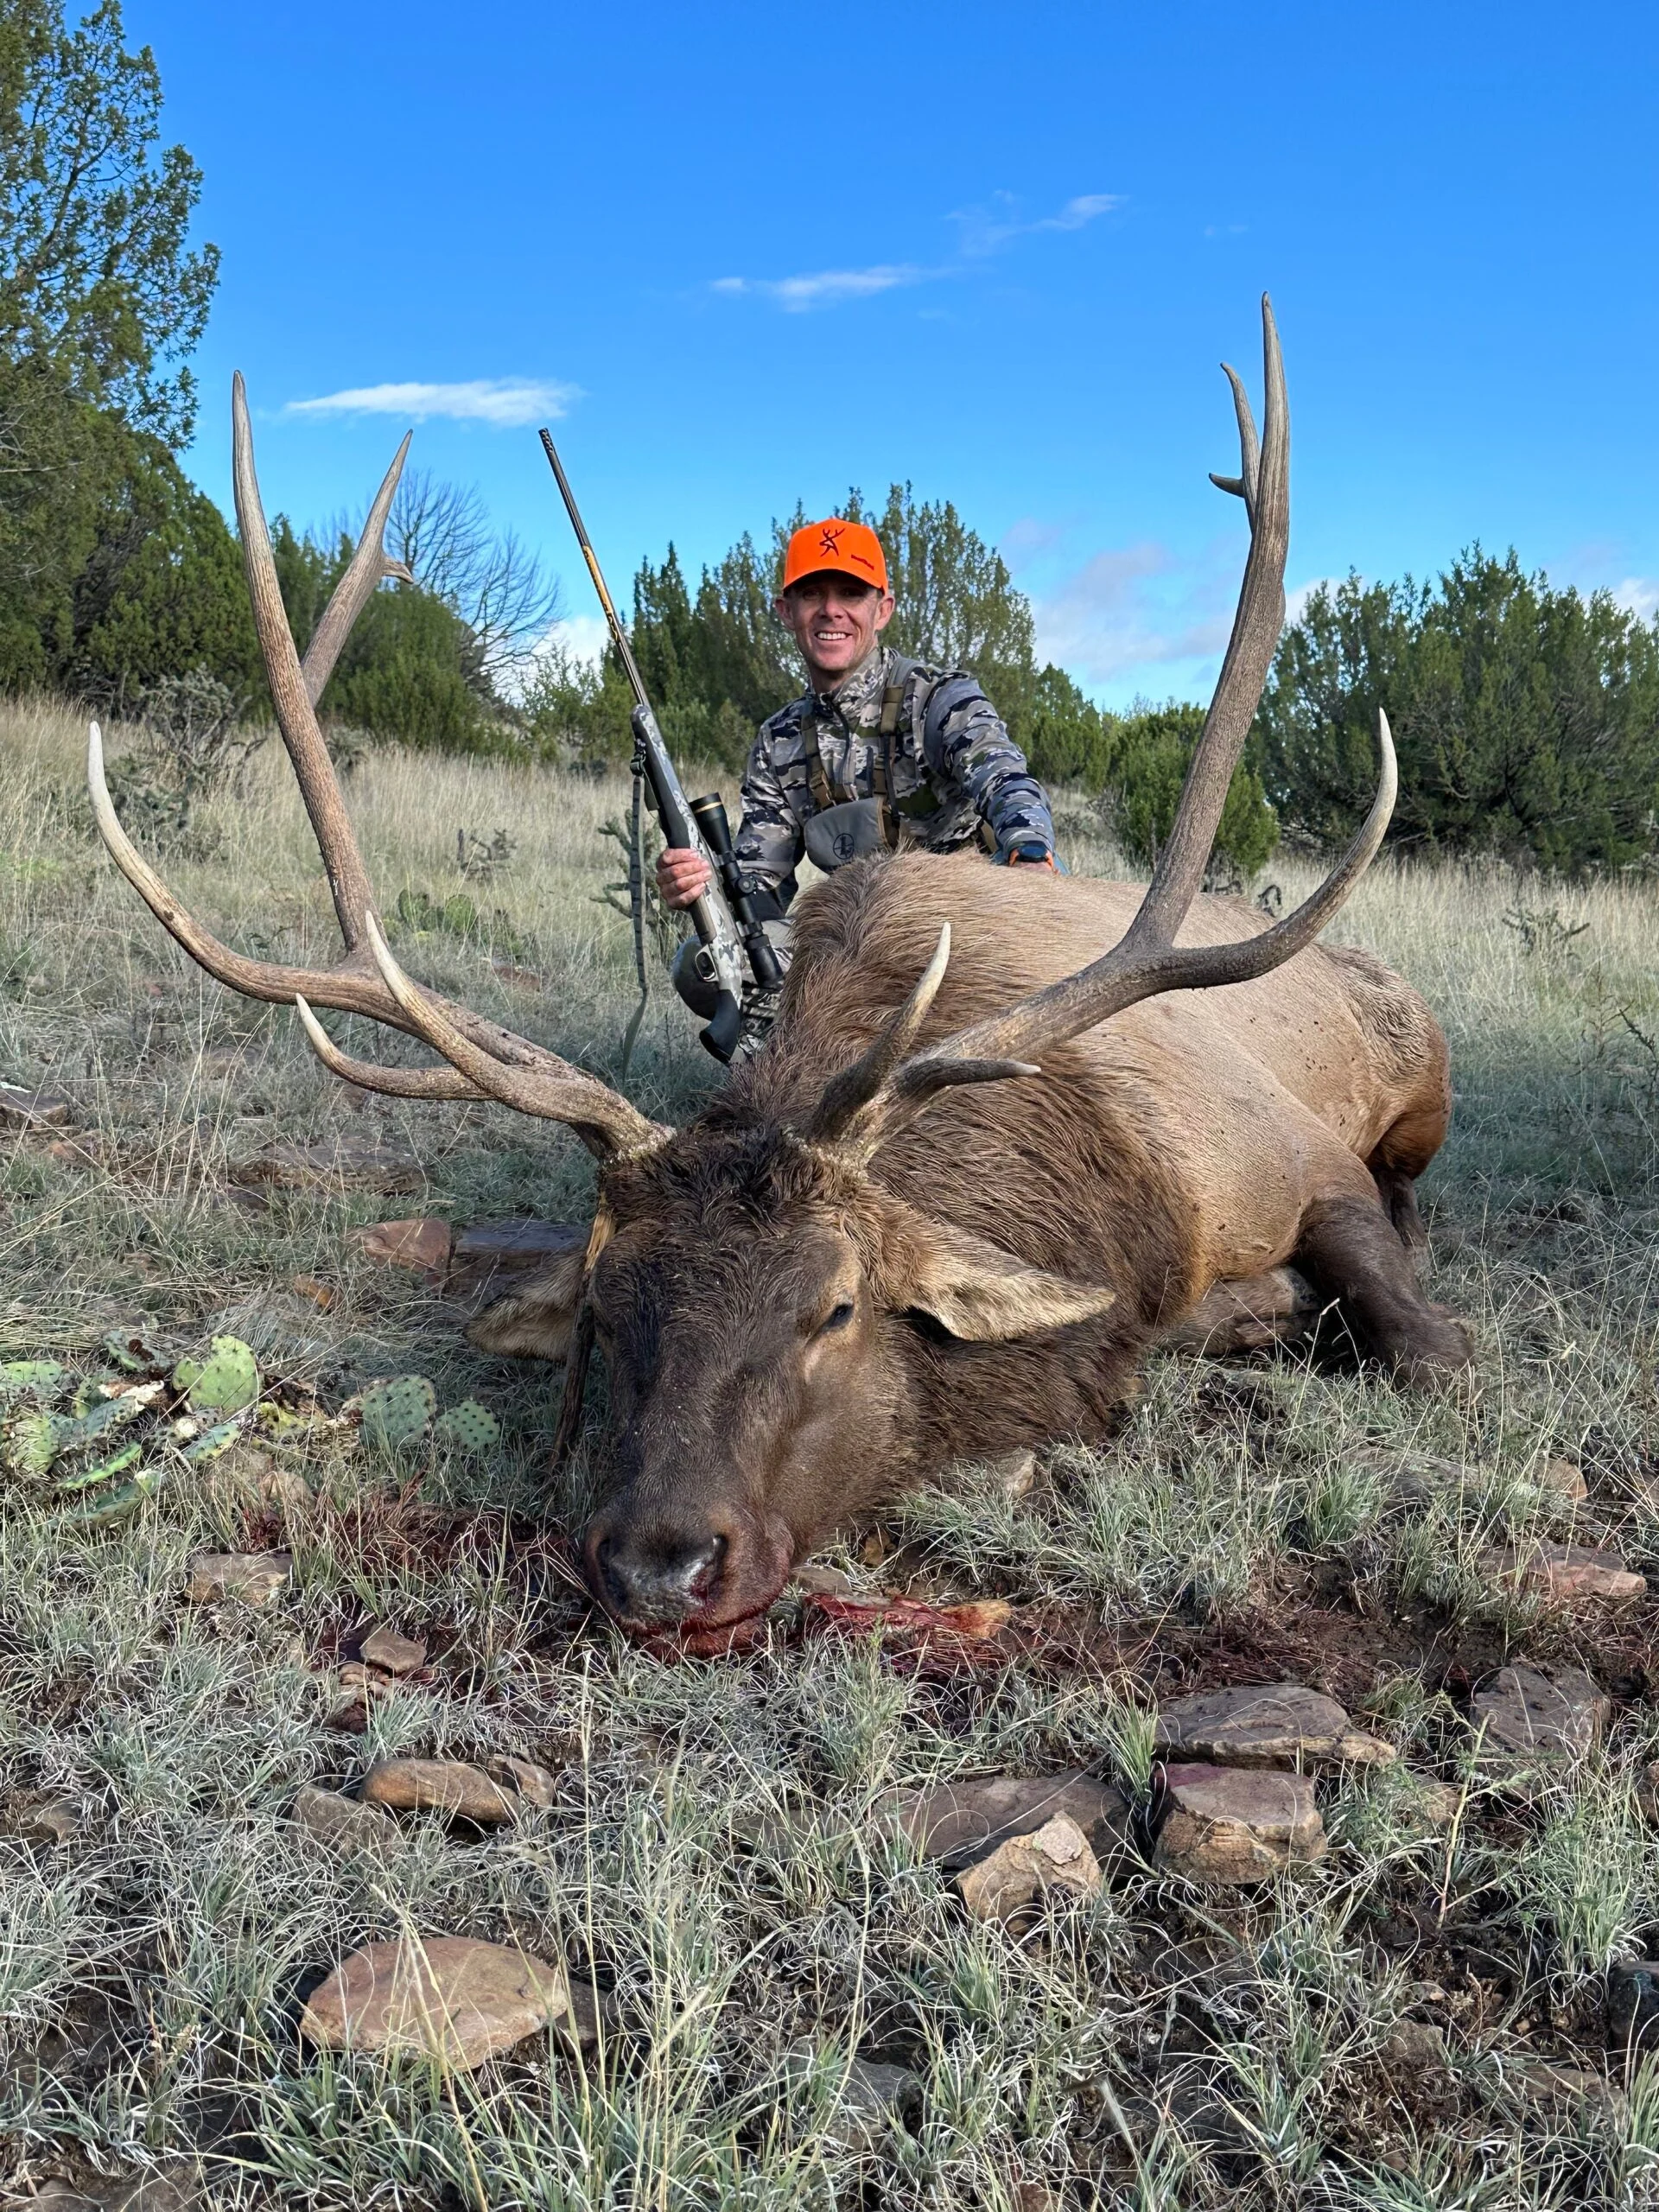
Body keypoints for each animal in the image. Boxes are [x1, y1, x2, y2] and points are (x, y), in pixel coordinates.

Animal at [87, 302, 1468, 1637]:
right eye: (607, 1311)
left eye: (835, 1309)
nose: (659, 1563)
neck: (1115, 1200)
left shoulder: (1291, 1157)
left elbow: (1421, 1346)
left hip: (1422, 1077)